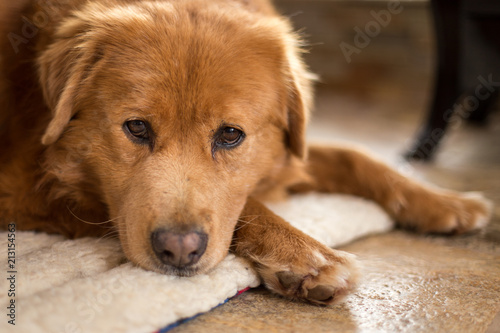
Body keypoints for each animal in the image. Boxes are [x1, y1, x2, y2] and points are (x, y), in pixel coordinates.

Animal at [0, 0, 492, 304]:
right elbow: (248, 204)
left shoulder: (286, 153)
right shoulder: (35, 188)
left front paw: (446, 202)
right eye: (136, 128)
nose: (178, 250)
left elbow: (355, 154)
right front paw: (307, 257)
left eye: (231, 135)